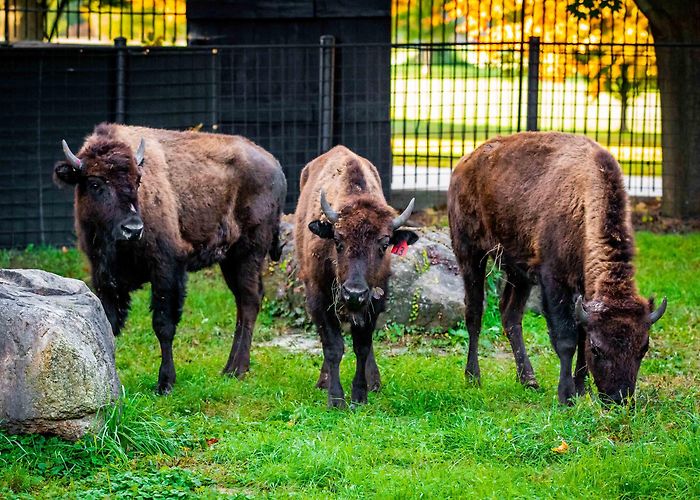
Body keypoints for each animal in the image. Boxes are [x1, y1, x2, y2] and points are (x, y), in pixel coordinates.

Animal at [55, 123, 286, 394]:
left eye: (138, 180)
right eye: (94, 183)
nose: (132, 229)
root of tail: (275, 165)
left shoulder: (167, 270)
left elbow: (163, 324)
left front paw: (165, 383)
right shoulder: (104, 277)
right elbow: (109, 323)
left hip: (249, 253)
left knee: (249, 301)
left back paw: (237, 370)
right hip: (230, 260)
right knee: (243, 300)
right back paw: (229, 369)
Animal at [295, 146, 418, 407]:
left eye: (384, 244)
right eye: (337, 240)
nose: (354, 293)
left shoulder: (374, 302)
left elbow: (362, 346)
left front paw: (360, 395)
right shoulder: (319, 299)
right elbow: (333, 347)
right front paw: (335, 398)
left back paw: (375, 382)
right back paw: (324, 381)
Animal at [447, 132, 667, 404]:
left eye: (644, 347)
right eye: (598, 349)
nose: (619, 399)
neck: (583, 203)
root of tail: (465, 162)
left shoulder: (582, 291)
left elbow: (580, 334)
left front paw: (581, 390)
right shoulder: (553, 280)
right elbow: (566, 339)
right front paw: (566, 396)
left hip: (518, 271)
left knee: (510, 314)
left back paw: (529, 380)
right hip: (470, 253)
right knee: (474, 313)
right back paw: (473, 378)